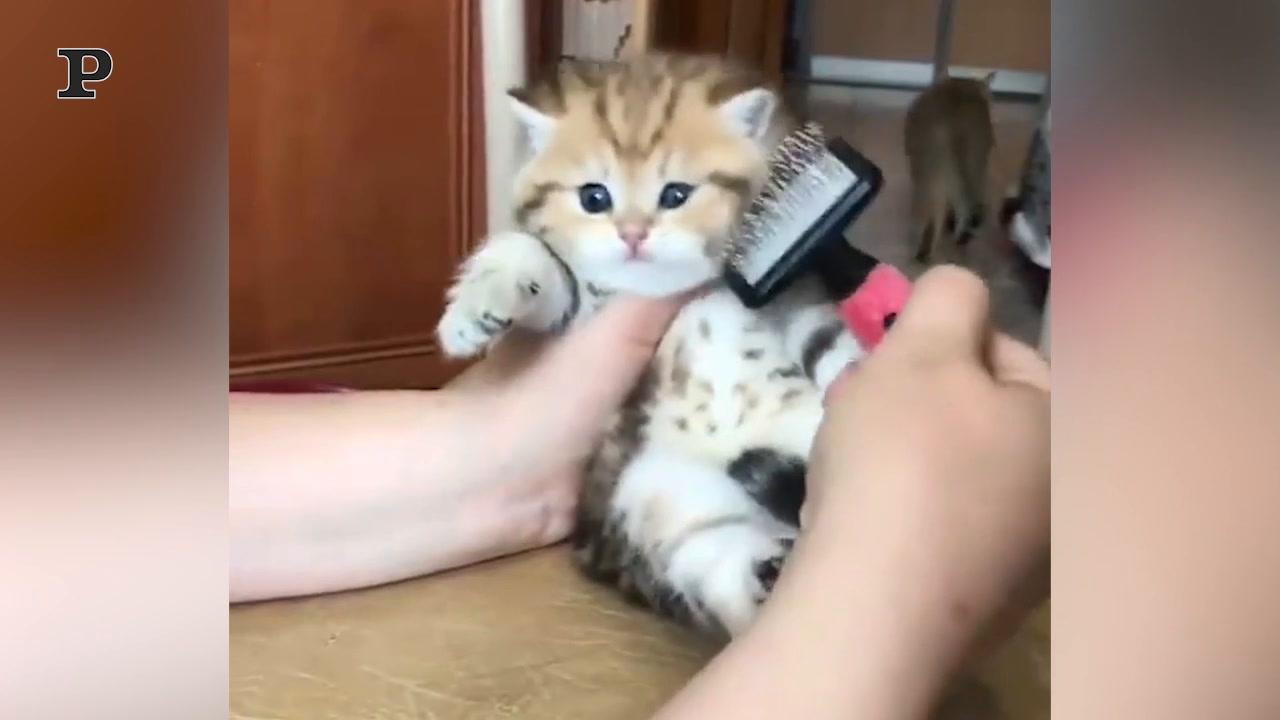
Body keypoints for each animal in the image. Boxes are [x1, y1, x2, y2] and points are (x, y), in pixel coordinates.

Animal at [435, 54, 865, 638]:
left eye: (675, 194)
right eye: (594, 197)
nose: (634, 234)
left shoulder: (793, 291)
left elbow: (826, 339)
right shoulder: (587, 319)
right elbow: (539, 261)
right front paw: (476, 304)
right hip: (648, 488)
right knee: (712, 557)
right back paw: (764, 574)